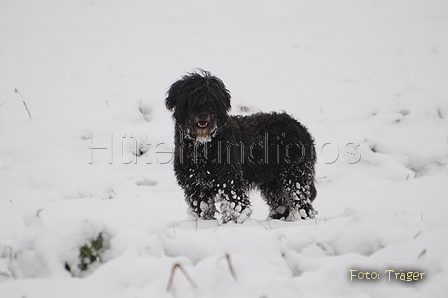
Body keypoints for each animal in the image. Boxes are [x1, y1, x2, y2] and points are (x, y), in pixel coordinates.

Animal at [165, 70, 318, 224]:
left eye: (212, 100)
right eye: (191, 99)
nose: (203, 115)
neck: (204, 147)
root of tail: (299, 126)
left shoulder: (229, 181)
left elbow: (234, 205)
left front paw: (234, 223)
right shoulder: (196, 186)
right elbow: (201, 207)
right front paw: (203, 223)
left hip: (294, 176)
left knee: (301, 203)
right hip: (273, 182)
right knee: (281, 203)